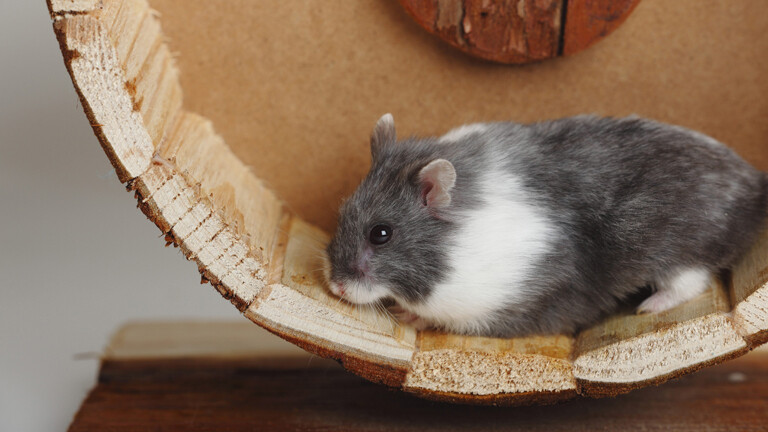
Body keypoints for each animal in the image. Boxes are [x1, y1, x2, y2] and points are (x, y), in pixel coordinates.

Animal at [324, 114, 768, 337]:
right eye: (343, 210)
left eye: (381, 234)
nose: (335, 288)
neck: (452, 244)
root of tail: (755, 183)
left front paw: (409, 316)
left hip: (671, 247)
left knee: (692, 281)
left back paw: (647, 307)